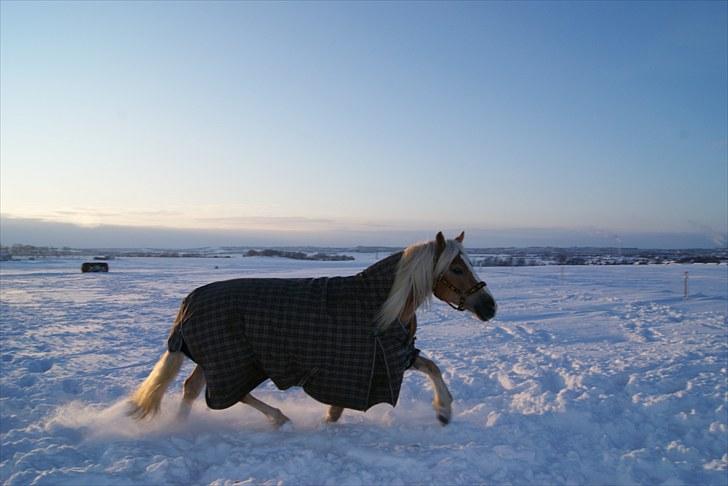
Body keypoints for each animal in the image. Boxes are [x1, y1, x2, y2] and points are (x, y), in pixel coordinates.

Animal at [128, 232, 498, 426]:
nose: (489, 307)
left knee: (192, 389)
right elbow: (337, 408)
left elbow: (432, 367)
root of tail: (189, 301)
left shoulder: (395, 355)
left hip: (218, 359)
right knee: (227, 394)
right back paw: (277, 418)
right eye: (456, 268)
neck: (379, 305)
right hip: (234, 361)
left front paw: (444, 410)